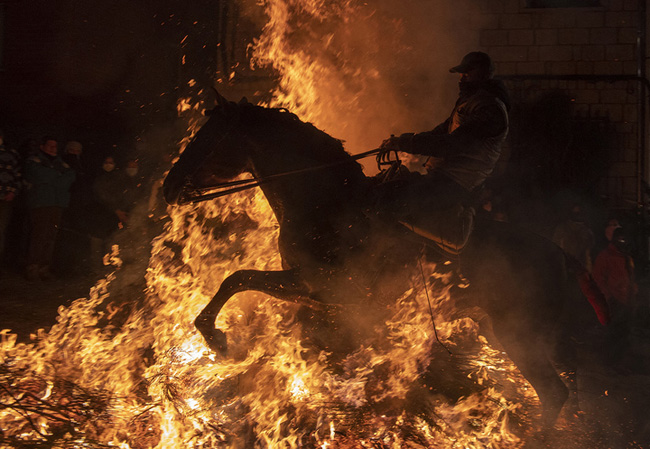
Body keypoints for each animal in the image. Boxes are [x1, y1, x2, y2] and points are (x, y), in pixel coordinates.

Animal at [163, 94, 608, 428]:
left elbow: (237, 278)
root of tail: (562, 255)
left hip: (520, 334)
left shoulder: (315, 283)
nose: (169, 186)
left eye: (209, 137)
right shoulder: (314, 296)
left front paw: (216, 336)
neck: (326, 199)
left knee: (553, 392)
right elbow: (245, 285)